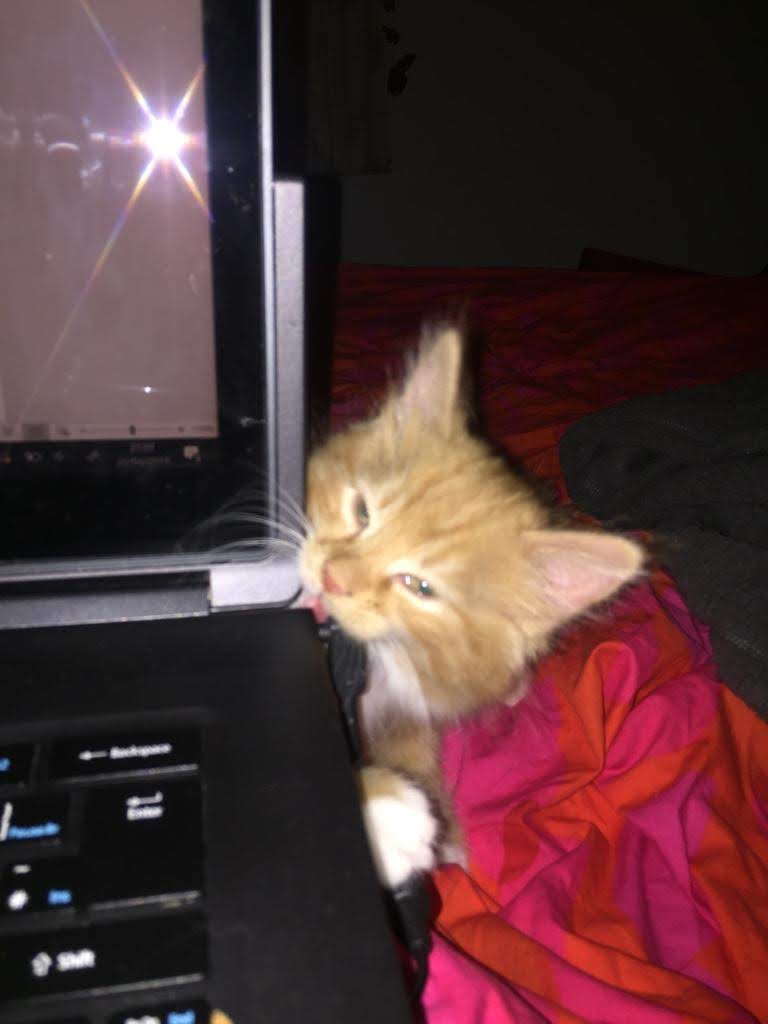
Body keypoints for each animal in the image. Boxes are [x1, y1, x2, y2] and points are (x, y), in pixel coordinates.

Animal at [300, 324, 643, 888]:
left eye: (420, 587)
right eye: (362, 511)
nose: (331, 579)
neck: (381, 664)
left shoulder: (411, 703)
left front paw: (441, 830)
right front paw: (384, 815)